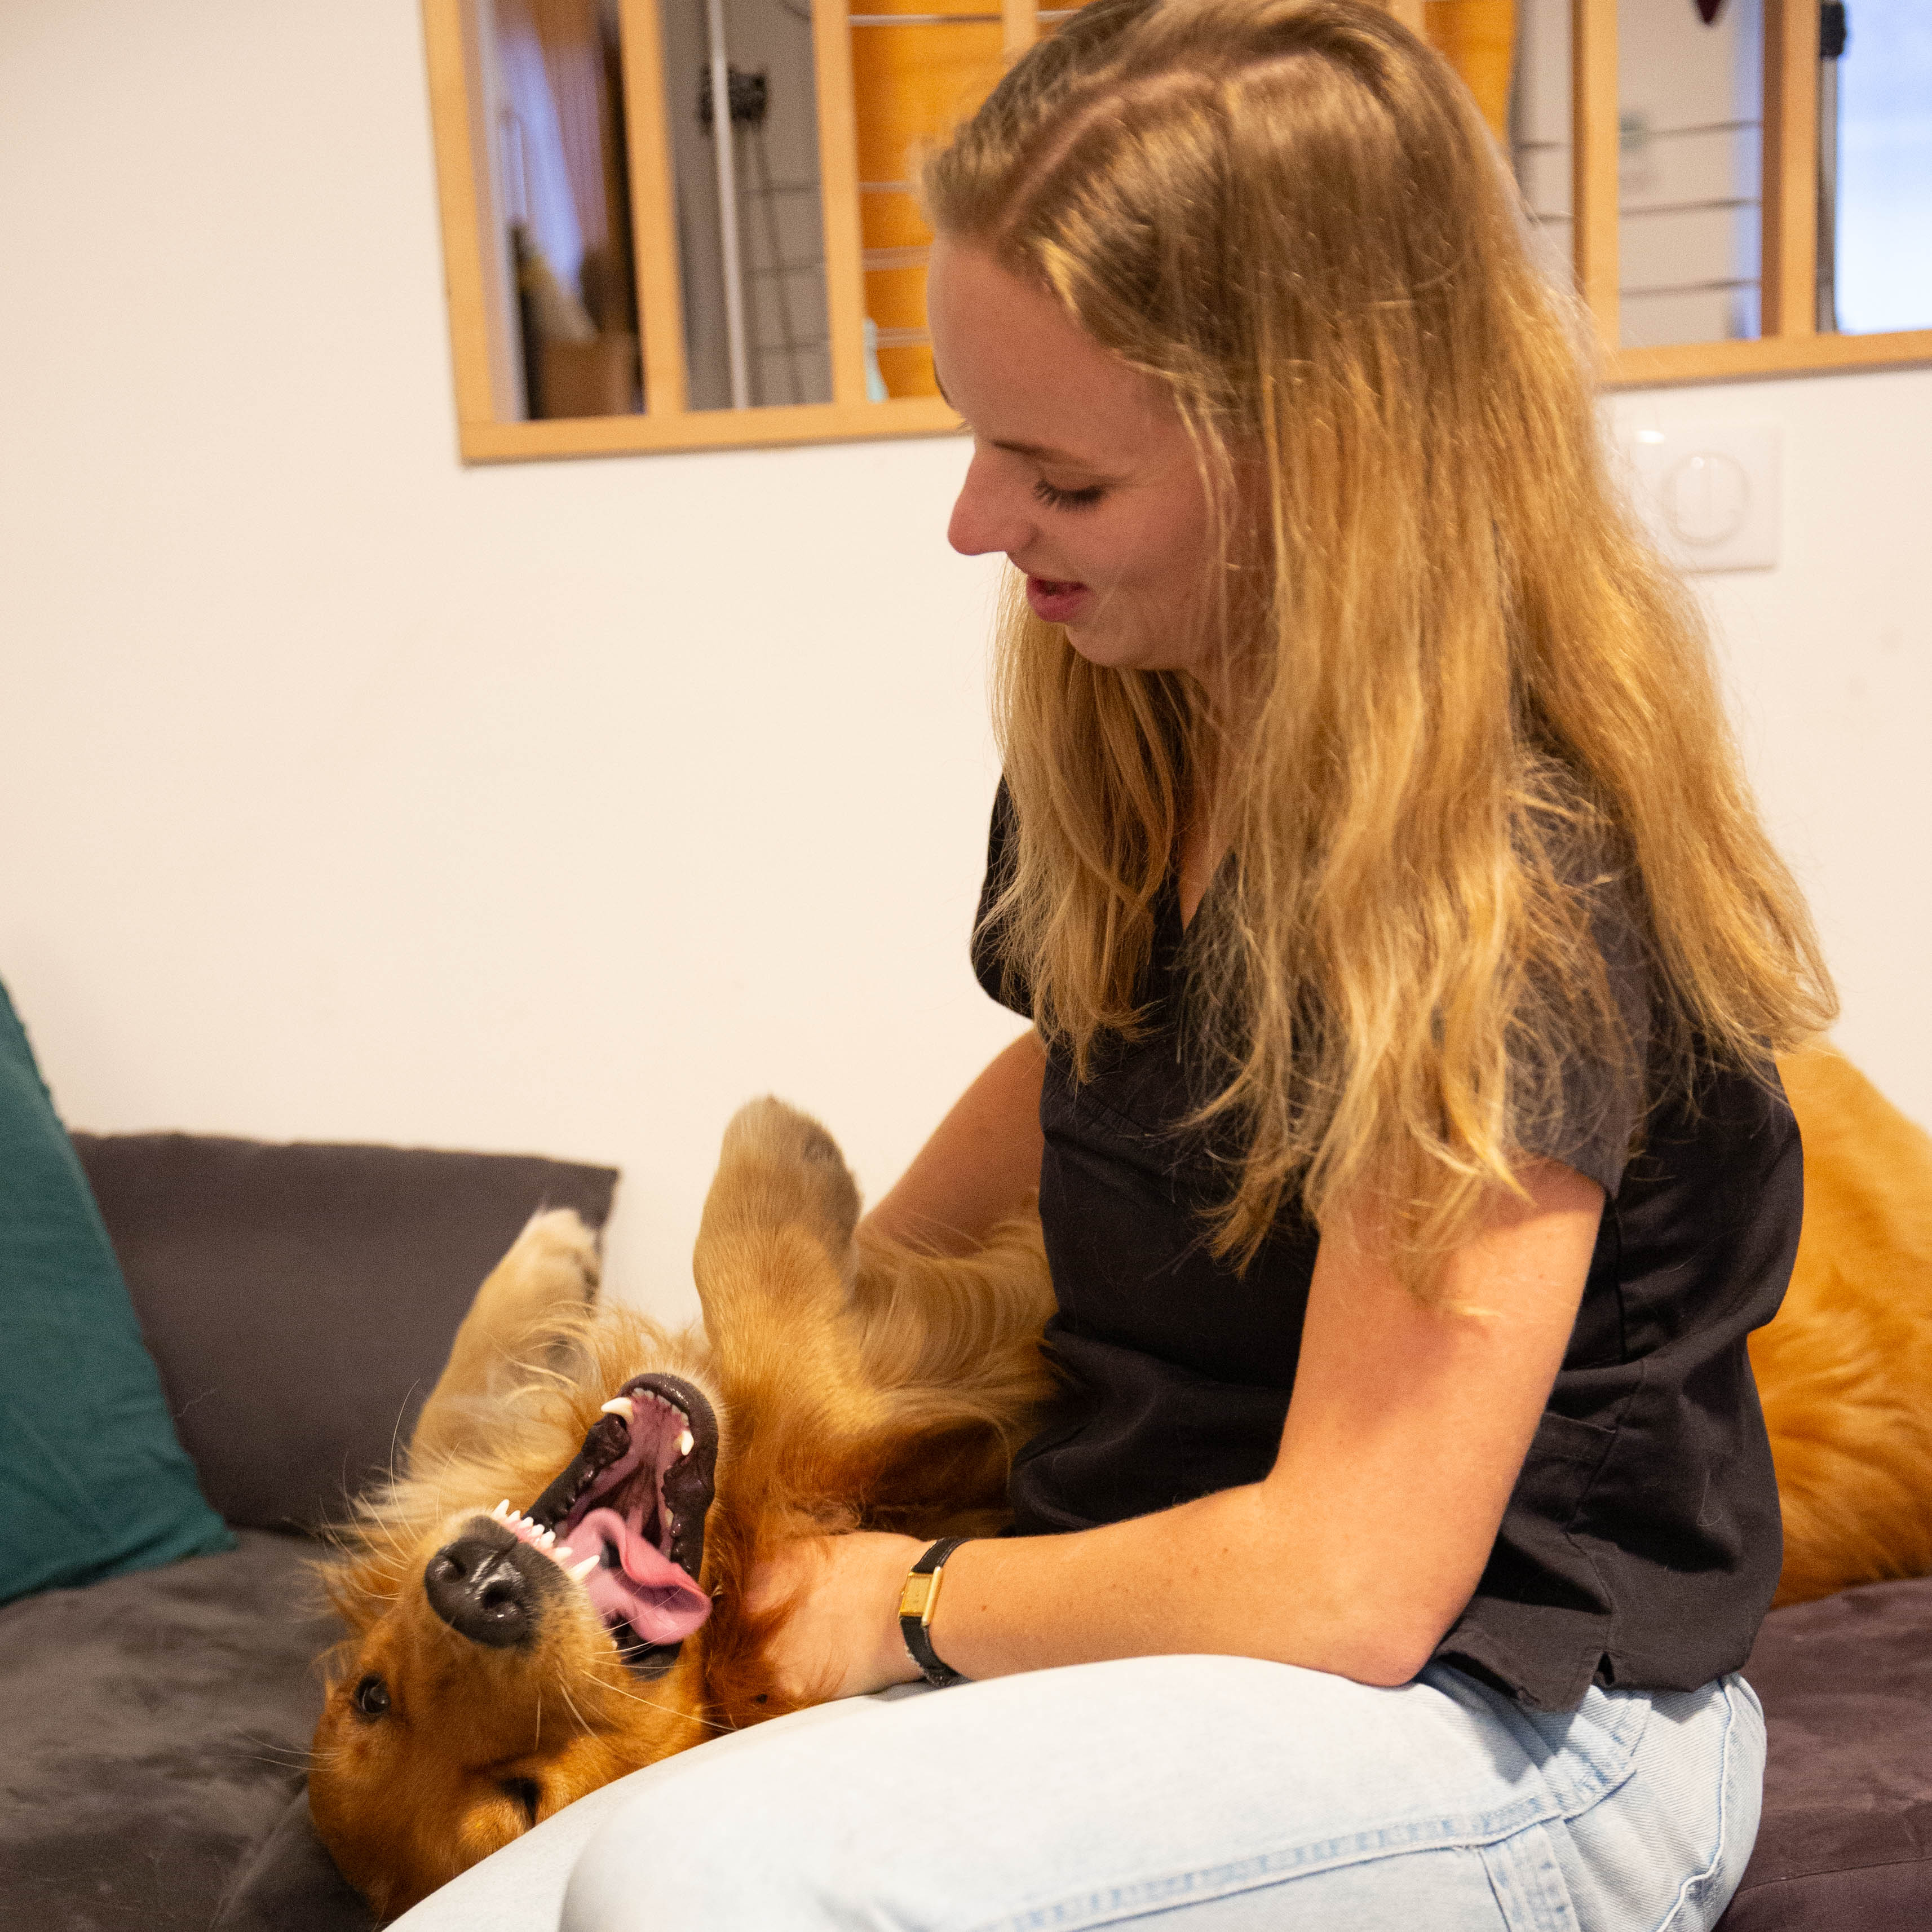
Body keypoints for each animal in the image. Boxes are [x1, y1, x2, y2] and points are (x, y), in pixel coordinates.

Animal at [308, 1049, 1932, 1919]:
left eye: (366, 1690)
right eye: (524, 1797)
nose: (482, 1584)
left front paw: (557, 1250)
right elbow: (765, 1308)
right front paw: (769, 1167)